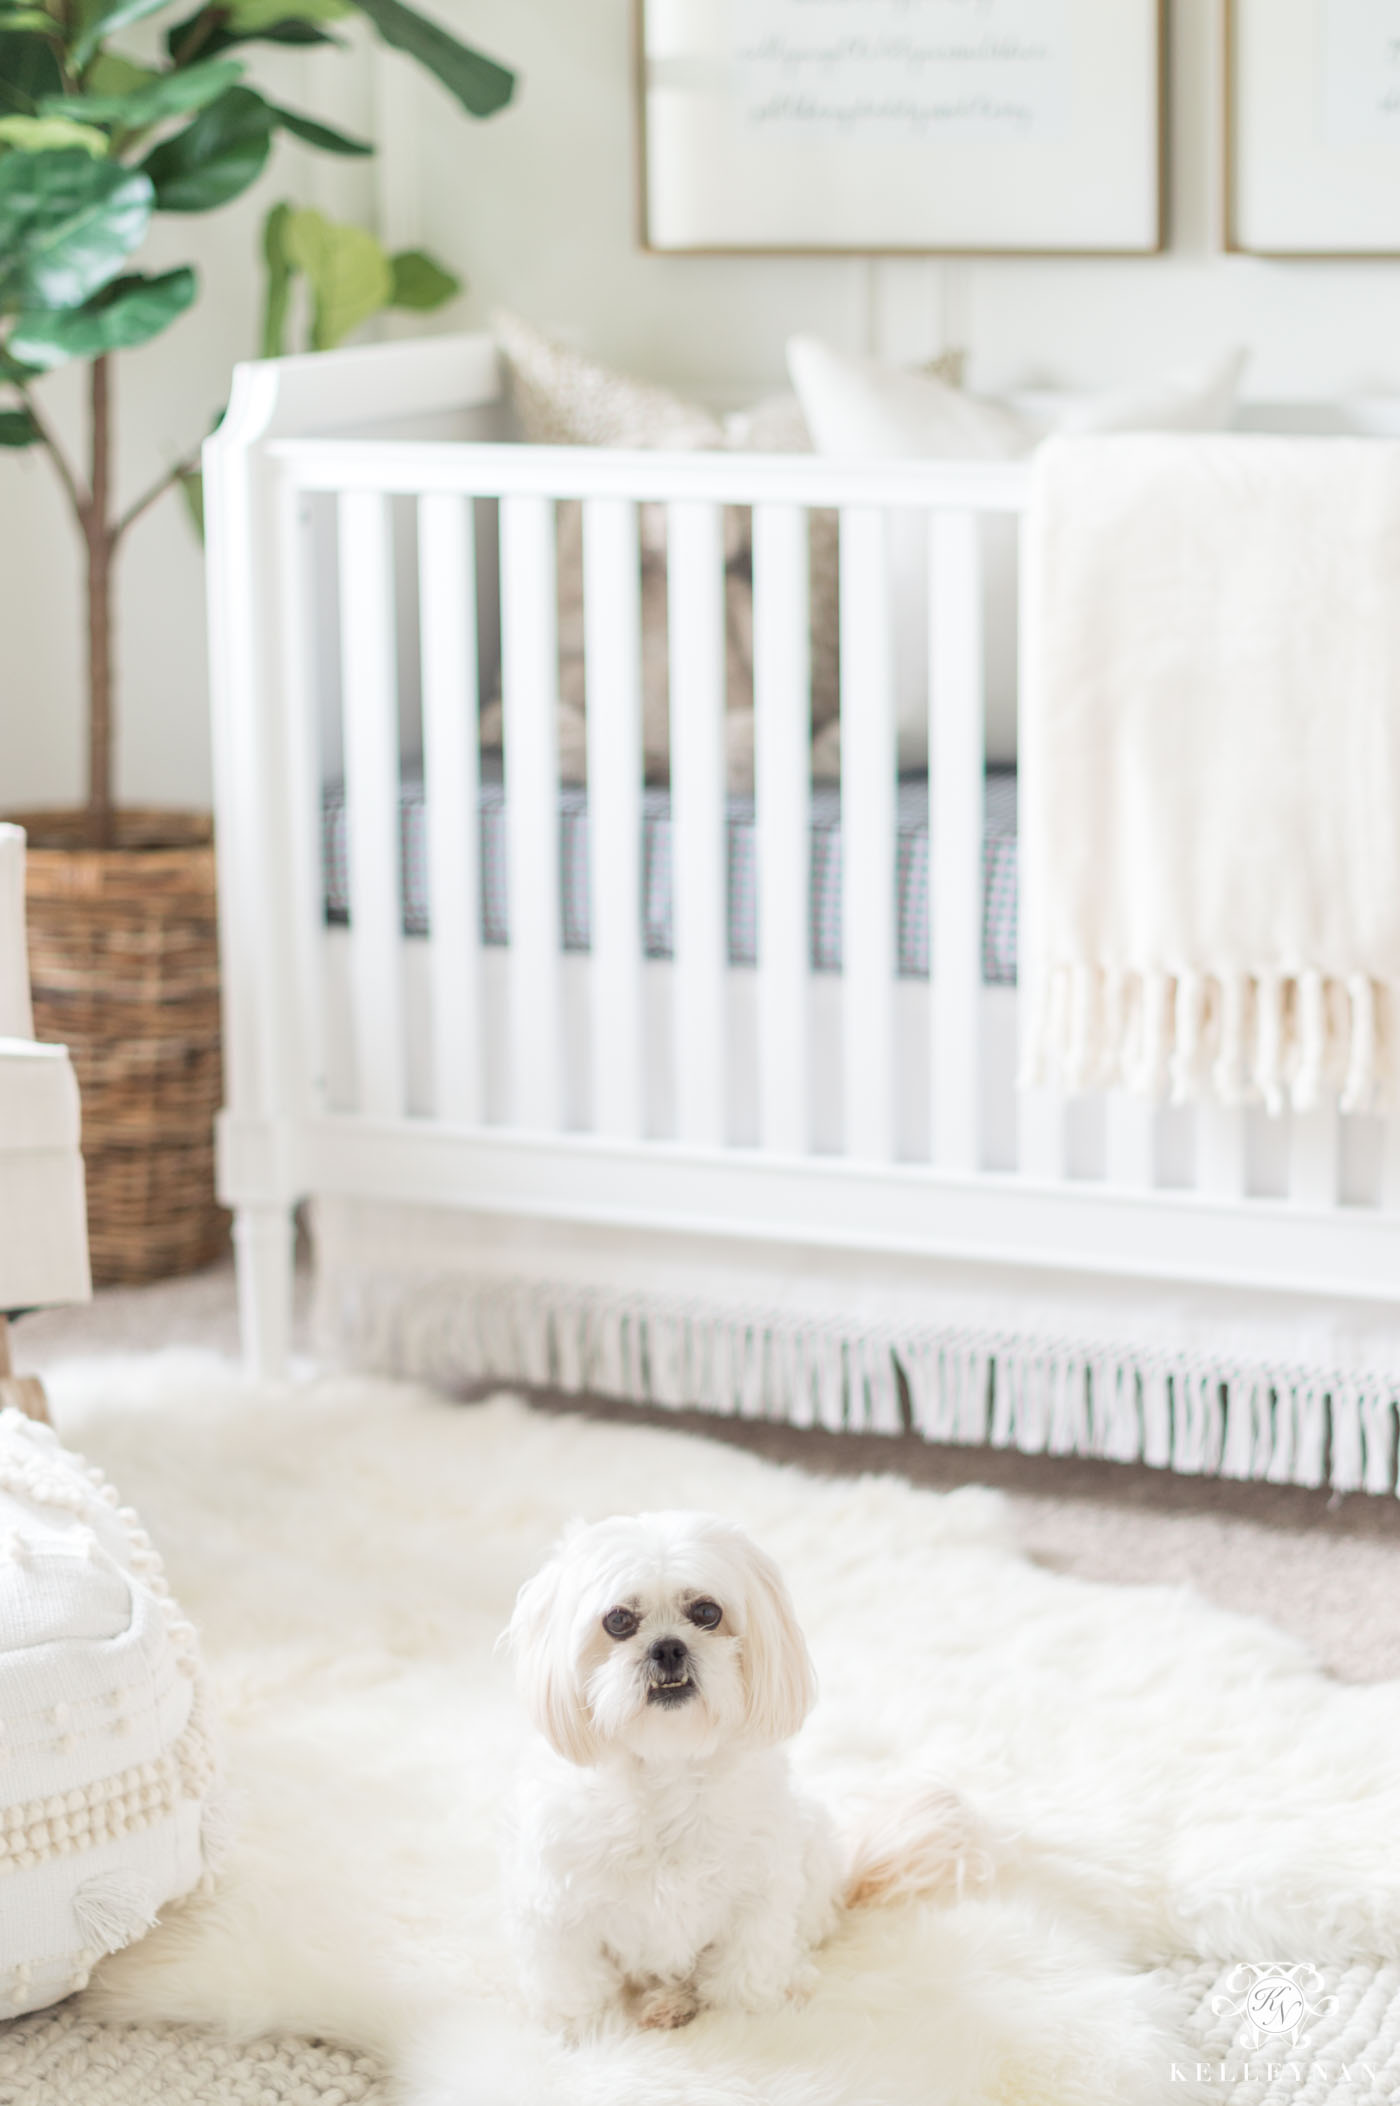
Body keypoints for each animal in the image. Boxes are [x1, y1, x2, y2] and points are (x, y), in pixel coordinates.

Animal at [503, 1507, 972, 2030]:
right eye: (619, 1620)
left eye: (707, 1613)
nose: (668, 1647)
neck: (668, 1763)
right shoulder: (558, 1912)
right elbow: (573, 1986)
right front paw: (581, 2030)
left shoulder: (757, 1901)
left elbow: (743, 1977)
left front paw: (743, 2023)